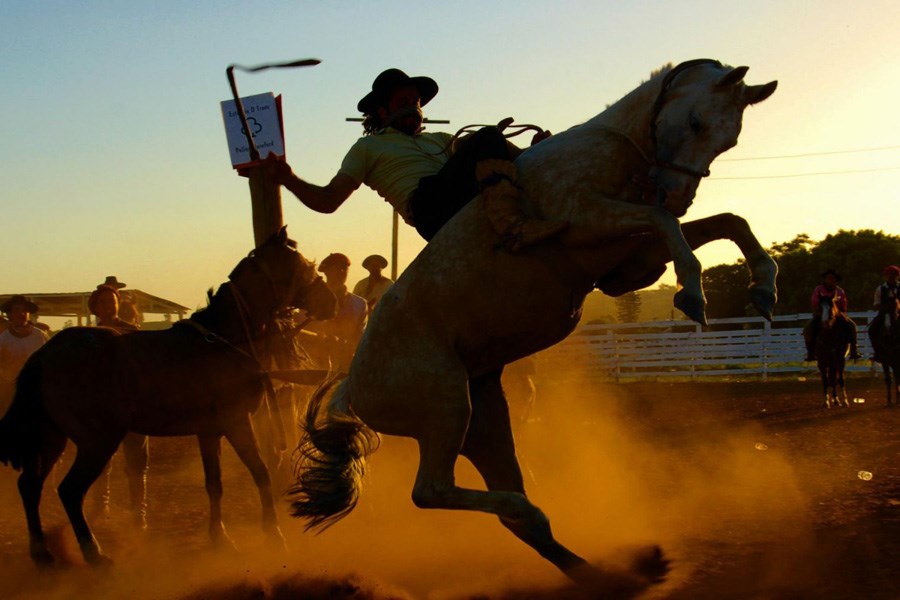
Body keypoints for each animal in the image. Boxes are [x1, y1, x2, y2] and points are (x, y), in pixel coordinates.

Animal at [0, 226, 334, 568]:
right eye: (301, 265)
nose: (330, 301)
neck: (224, 341)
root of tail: (45, 354)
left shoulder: (209, 432)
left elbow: (214, 485)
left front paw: (221, 539)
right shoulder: (236, 423)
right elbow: (261, 473)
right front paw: (275, 536)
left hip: (52, 439)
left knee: (30, 486)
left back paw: (42, 553)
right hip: (96, 442)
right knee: (69, 490)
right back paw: (94, 553)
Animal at [292, 59, 776, 596]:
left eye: (730, 138)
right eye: (695, 122)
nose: (677, 194)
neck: (612, 149)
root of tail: (353, 384)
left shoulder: (630, 262)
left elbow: (727, 221)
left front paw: (764, 289)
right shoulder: (588, 218)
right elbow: (666, 222)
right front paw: (693, 295)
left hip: (481, 423)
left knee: (509, 512)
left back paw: (606, 571)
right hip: (444, 408)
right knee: (431, 491)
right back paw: (541, 517)